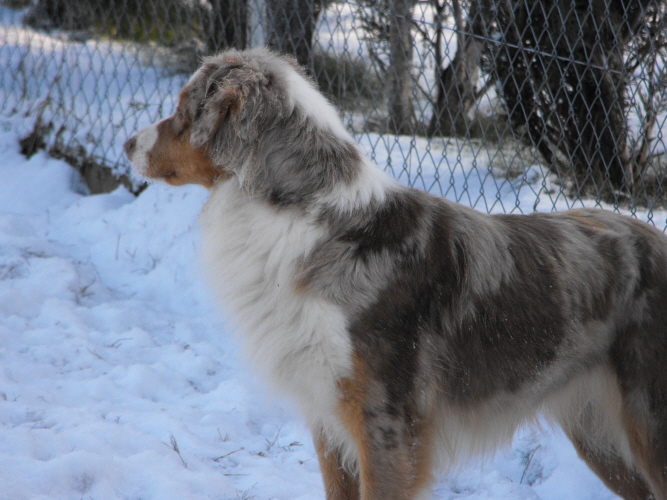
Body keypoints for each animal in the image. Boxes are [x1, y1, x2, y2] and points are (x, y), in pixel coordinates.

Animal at [125, 47, 667, 500]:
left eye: (183, 108)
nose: (128, 143)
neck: (306, 222)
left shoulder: (386, 426)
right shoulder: (330, 420)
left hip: (647, 426)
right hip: (600, 437)